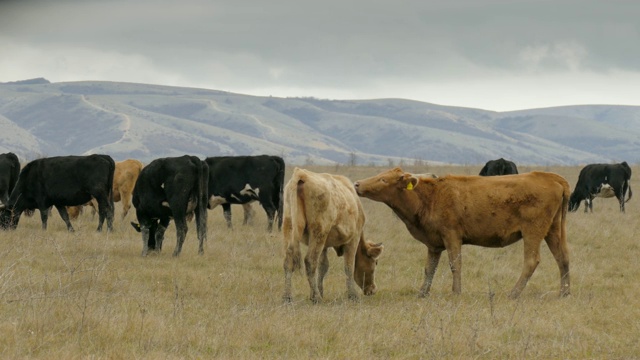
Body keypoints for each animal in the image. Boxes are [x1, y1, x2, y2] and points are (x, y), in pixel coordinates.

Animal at [282, 167, 382, 302]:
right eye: (375, 262)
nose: (373, 289)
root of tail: (302, 173)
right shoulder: (353, 239)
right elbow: (349, 266)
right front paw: (352, 295)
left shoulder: (324, 245)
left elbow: (323, 265)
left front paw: (319, 291)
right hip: (319, 231)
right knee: (310, 260)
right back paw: (316, 297)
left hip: (289, 226)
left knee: (289, 260)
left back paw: (288, 297)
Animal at [356, 169, 568, 298]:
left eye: (383, 179)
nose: (357, 184)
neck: (430, 196)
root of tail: (552, 177)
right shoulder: (434, 245)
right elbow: (429, 268)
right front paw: (422, 293)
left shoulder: (451, 236)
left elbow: (455, 264)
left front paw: (456, 292)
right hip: (553, 231)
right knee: (563, 258)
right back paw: (564, 293)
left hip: (533, 231)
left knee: (531, 261)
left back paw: (513, 293)